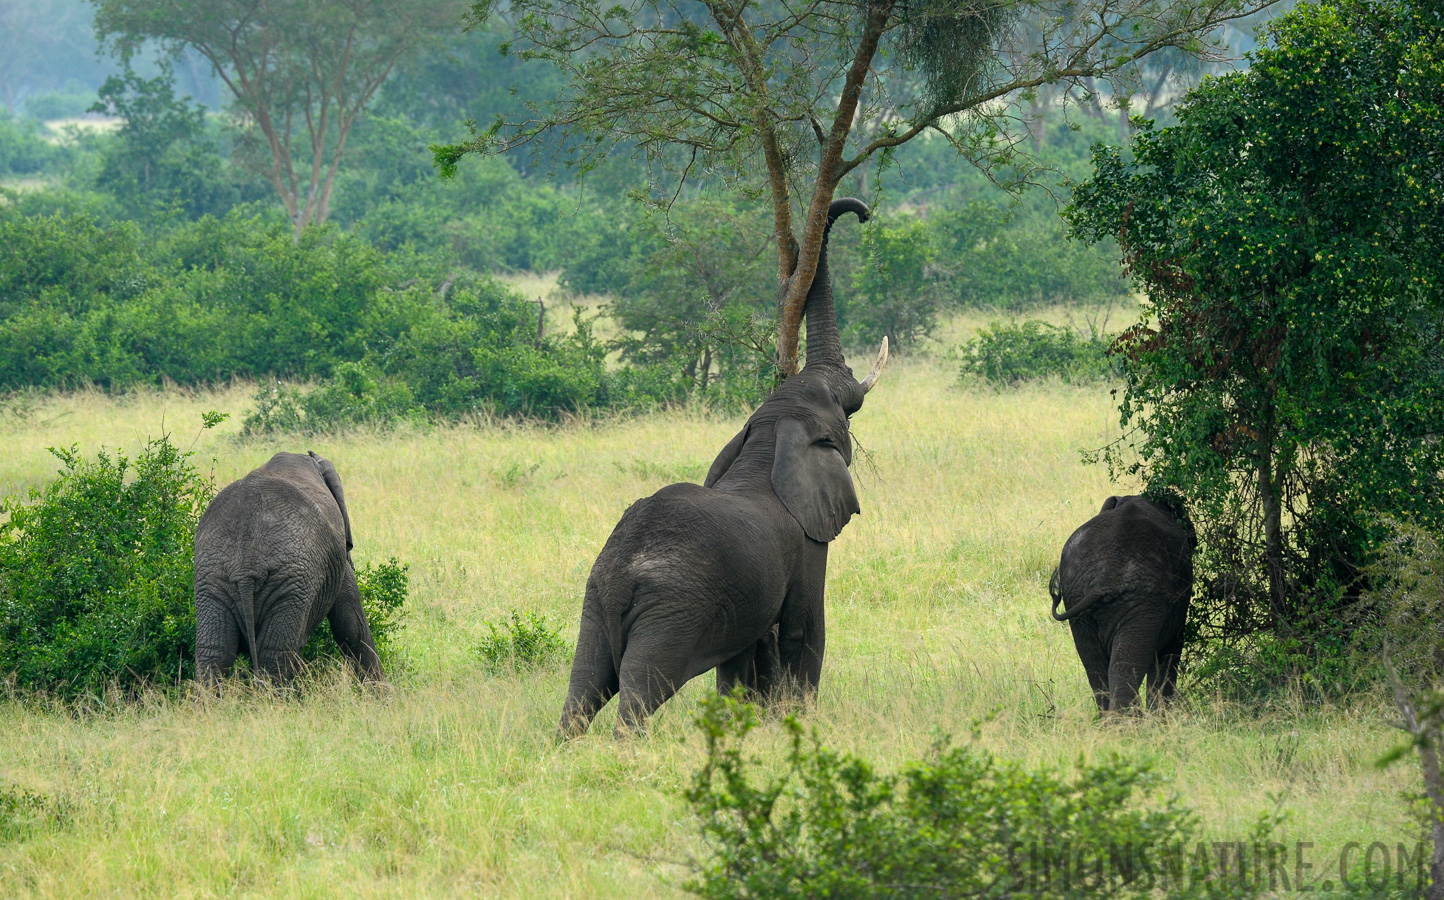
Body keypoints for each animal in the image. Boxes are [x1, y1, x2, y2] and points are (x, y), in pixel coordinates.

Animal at [193, 453, 384, 687]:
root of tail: (245, 566)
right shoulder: (338, 554)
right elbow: (351, 625)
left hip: (212, 577)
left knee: (214, 652)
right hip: (290, 582)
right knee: (275, 654)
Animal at [557, 196, 883, 739]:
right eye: (840, 411)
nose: (862, 214)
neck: (769, 438)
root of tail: (621, 576)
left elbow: (744, 654)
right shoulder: (807, 544)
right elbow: (804, 631)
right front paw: (798, 724)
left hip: (594, 602)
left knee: (583, 690)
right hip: (671, 612)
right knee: (639, 695)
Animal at [1051, 496, 1195, 713]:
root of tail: (1104, 578)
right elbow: (1171, 649)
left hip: (1078, 602)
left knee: (1096, 667)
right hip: (1142, 600)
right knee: (1125, 664)